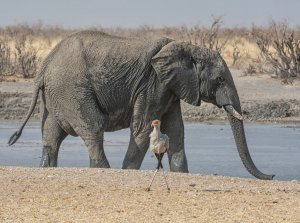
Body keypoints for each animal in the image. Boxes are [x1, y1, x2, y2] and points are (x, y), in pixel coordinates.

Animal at [7, 30, 274, 179]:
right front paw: (128, 172)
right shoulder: (153, 83)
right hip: (71, 88)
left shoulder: (170, 87)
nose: (271, 175)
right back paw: (106, 171)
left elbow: (176, 131)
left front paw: (181, 174)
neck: (186, 47)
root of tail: (44, 66)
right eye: (220, 79)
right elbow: (143, 129)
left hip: (56, 93)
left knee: (51, 135)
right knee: (93, 127)